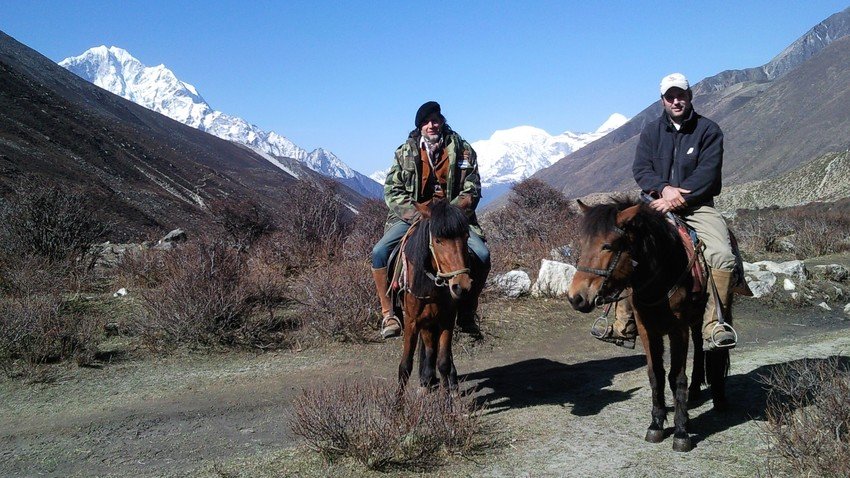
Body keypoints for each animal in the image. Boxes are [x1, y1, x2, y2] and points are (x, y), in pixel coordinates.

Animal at [396, 198, 470, 392]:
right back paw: (426, 380)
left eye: (466, 237)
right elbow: (405, 366)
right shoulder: (412, 322)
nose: (461, 286)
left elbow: (443, 362)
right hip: (426, 323)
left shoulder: (447, 319)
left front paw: (446, 397)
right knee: (429, 350)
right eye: (438, 240)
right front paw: (397, 401)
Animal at [564, 198, 728, 452]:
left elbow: (676, 377)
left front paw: (681, 431)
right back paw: (694, 391)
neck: (661, 276)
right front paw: (656, 424)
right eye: (583, 244)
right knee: (699, 346)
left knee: (708, 346)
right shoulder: (646, 330)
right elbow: (655, 375)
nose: (576, 297)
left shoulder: (678, 330)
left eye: (608, 246)